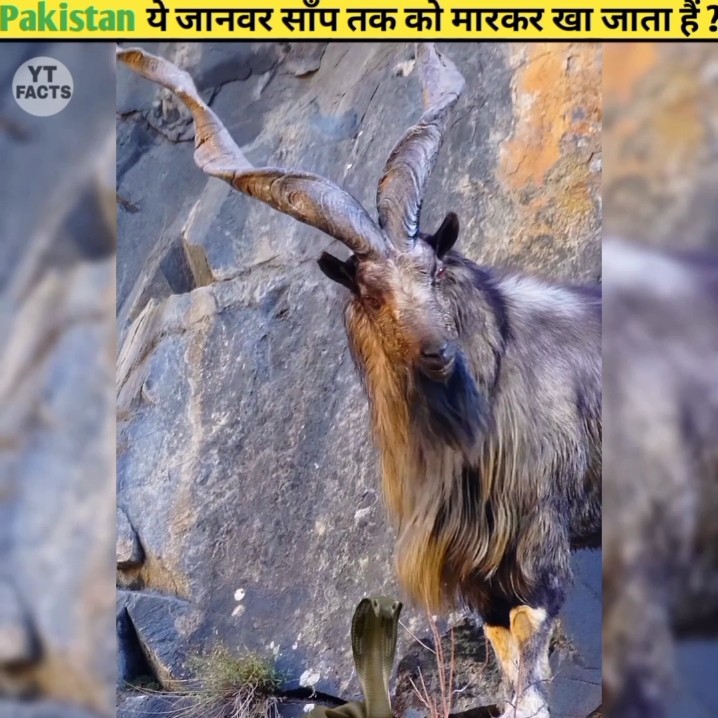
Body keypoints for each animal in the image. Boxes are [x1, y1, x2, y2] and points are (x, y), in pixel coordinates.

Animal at [117, 44, 602, 718]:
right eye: (372, 293)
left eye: (433, 272)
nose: (438, 353)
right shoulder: (479, 576)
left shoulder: (540, 543)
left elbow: (529, 679)